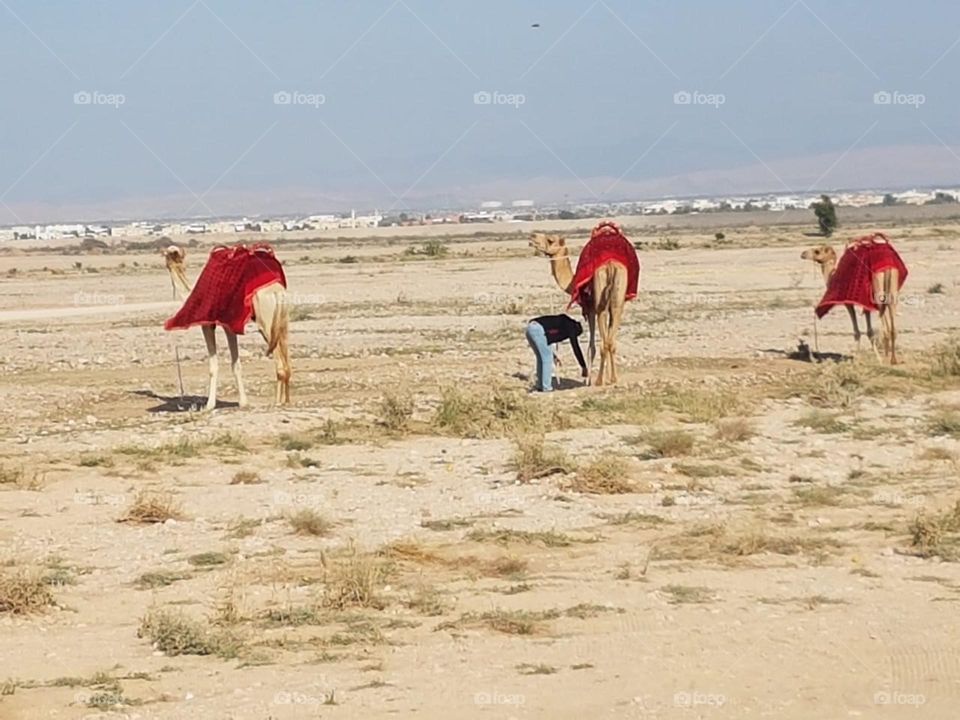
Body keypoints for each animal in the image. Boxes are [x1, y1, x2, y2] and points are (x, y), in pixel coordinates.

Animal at [163, 245, 290, 408]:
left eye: (171, 253)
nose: (176, 254)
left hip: (266, 323)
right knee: (286, 364)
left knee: (280, 365)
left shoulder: (209, 324)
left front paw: (209, 405)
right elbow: (236, 365)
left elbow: (214, 366)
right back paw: (285, 400)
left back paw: (277, 402)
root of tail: (277, 291)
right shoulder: (229, 326)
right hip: (282, 323)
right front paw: (243, 402)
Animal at [528, 222, 640, 386]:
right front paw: (609, 377)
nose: (532, 236)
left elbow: (591, 346)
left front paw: (589, 379)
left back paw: (598, 380)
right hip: (618, 301)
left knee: (602, 343)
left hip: (599, 302)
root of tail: (611, 265)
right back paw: (613, 378)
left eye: (550, 240)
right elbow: (608, 340)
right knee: (611, 341)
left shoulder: (590, 309)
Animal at [804, 232, 908, 362]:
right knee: (893, 325)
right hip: (892, 291)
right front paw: (876, 357)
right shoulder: (866, 305)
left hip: (878, 294)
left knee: (886, 328)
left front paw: (858, 359)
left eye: (817, 251)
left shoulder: (848, 303)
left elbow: (857, 331)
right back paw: (893, 359)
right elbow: (869, 331)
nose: (803, 254)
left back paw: (886, 359)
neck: (833, 275)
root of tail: (889, 267)